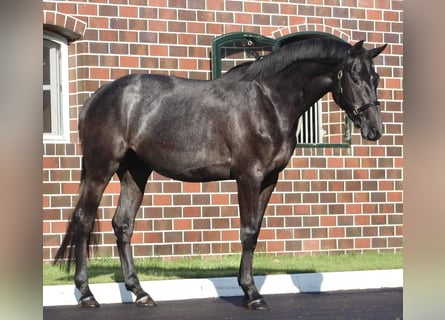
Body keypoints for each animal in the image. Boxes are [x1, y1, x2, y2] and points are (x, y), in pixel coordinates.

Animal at [55, 37, 386, 310]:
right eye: (354, 75)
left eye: (376, 77)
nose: (374, 129)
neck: (269, 101)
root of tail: (94, 99)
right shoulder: (248, 176)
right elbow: (248, 232)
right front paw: (252, 294)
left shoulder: (269, 180)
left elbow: (256, 230)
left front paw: (249, 288)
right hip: (101, 169)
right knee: (83, 221)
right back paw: (86, 295)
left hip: (135, 171)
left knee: (123, 224)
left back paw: (140, 293)